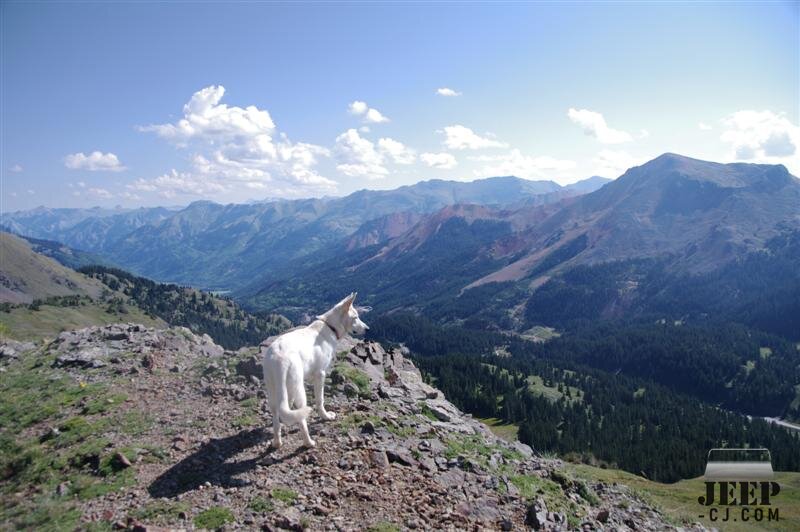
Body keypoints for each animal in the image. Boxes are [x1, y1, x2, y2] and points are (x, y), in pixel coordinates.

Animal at [260, 294, 368, 446]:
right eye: (356, 317)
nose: (368, 329)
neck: (330, 327)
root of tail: (280, 359)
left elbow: (287, 405)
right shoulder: (320, 375)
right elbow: (320, 400)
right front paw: (326, 416)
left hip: (272, 389)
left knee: (276, 415)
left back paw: (277, 442)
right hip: (299, 388)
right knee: (301, 417)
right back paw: (308, 442)